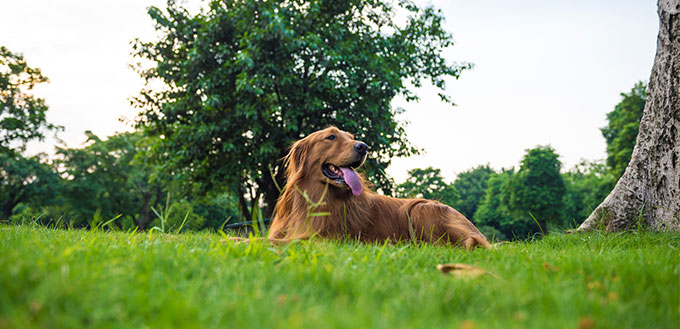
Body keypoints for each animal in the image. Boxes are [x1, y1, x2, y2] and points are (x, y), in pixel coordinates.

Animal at [266, 126, 488, 249]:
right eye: (331, 137)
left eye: (351, 137)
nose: (363, 146)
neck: (311, 201)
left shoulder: (324, 238)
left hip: (421, 208)